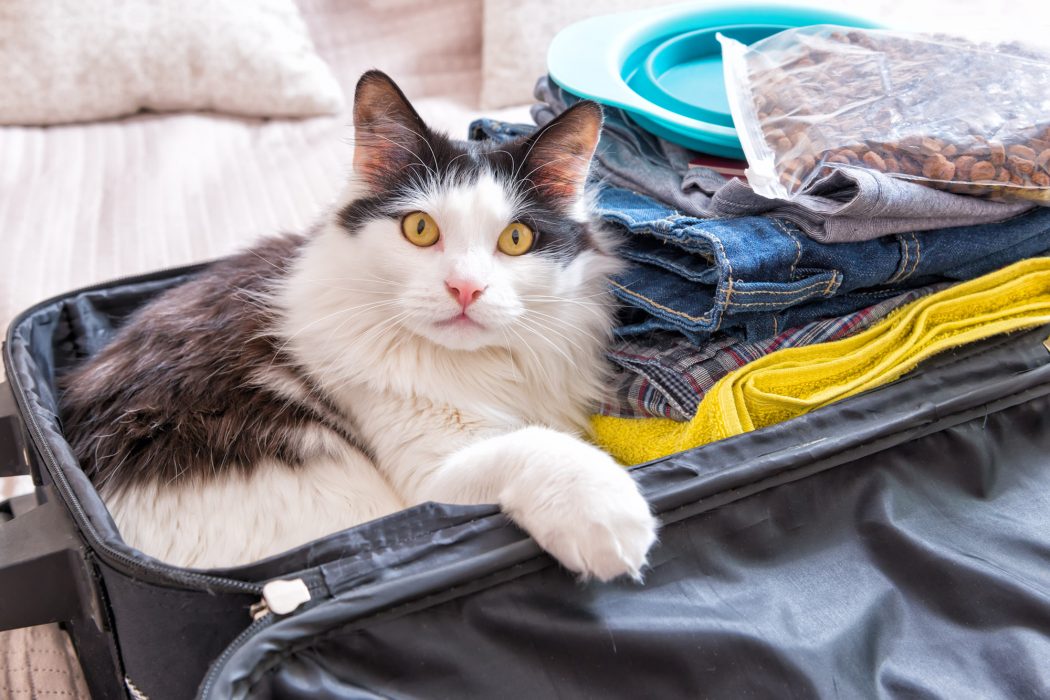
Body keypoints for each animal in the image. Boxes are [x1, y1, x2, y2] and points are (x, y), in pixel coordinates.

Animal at [59, 71, 655, 583]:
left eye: (516, 239)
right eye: (420, 229)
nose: (465, 289)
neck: (476, 367)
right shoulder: (430, 481)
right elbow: (538, 446)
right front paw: (609, 514)